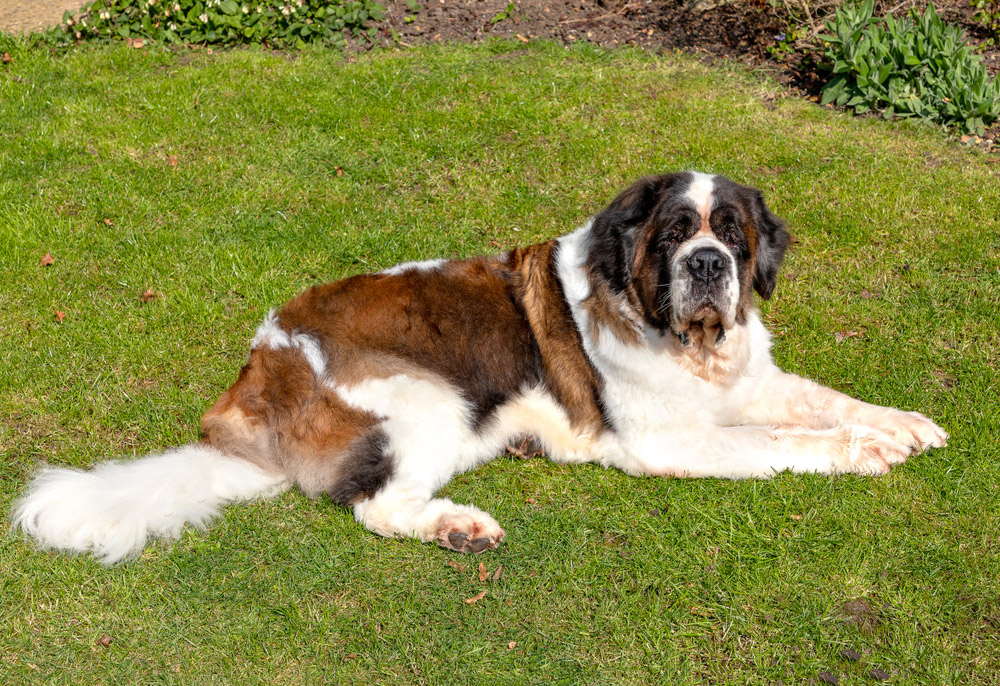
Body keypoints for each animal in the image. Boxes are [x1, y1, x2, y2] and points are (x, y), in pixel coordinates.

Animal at [11, 172, 944, 564]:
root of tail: (253, 379)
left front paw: (900, 423)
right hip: (429, 399)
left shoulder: (755, 380)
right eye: (677, 233)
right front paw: (864, 451)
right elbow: (779, 440)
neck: (692, 346)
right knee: (378, 506)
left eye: (734, 235)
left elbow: (818, 398)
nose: (710, 264)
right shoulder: (668, 440)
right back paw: (453, 526)